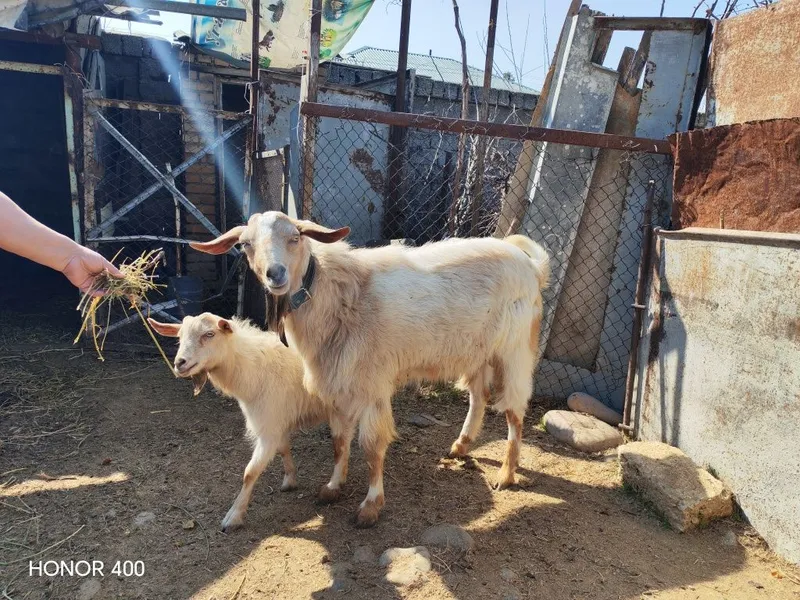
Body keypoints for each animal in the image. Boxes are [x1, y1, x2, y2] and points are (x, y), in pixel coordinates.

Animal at [148, 313, 331, 532]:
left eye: (209, 334)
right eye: (179, 337)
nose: (179, 363)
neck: (255, 369)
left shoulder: (269, 425)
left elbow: (250, 473)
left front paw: (233, 516)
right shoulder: (274, 421)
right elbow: (283, 449)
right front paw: (290, 480)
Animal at [190, 212, 550, 528]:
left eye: (295, 237)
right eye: (246, 244)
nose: (275, 274)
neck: (339, 297)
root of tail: (532, 266)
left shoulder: (372, 385)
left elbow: (372, 447)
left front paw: (370, 506)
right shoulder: (338, 383)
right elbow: (339, 440)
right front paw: (333, 487)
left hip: (515, 351)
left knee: (515, 411)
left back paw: (506, 474)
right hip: (476, 352)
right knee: (479, 396)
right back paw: (461, 445)